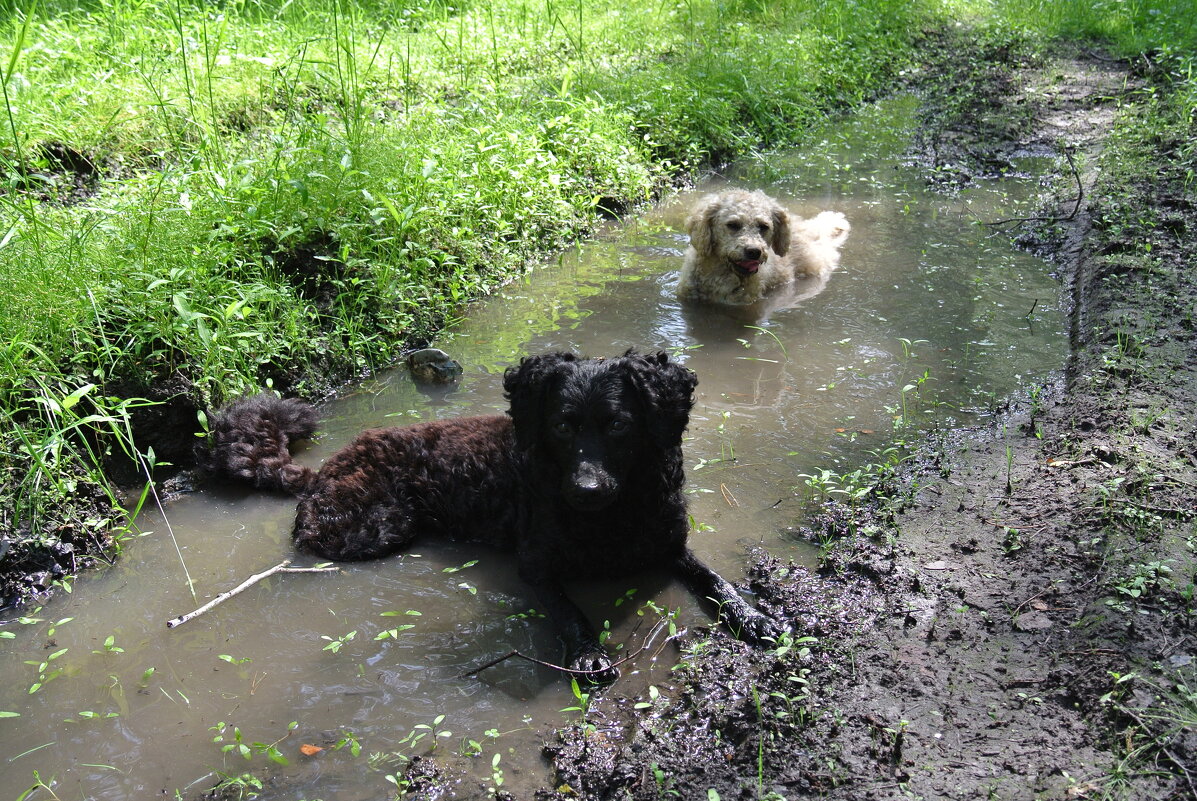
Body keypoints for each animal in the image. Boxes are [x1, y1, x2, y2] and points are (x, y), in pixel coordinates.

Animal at [201, 349, 780, 675]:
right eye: (562, 425)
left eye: (618, 425)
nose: (586, 489)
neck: (609, 517)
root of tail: (325, 465)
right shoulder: (537, 565)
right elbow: (569, 612)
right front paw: (587, 653)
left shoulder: (671, 544)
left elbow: (714, 579)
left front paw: (754, 616)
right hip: (378, 526)